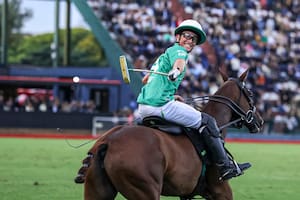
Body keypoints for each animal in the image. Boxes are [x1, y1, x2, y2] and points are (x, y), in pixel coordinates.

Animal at [74, 69, 262, 200]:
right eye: (251, 94)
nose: (260, 121)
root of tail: (108, 142)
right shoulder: (220, 189)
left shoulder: (186, 193)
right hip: (145, 191)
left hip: (96, 191)